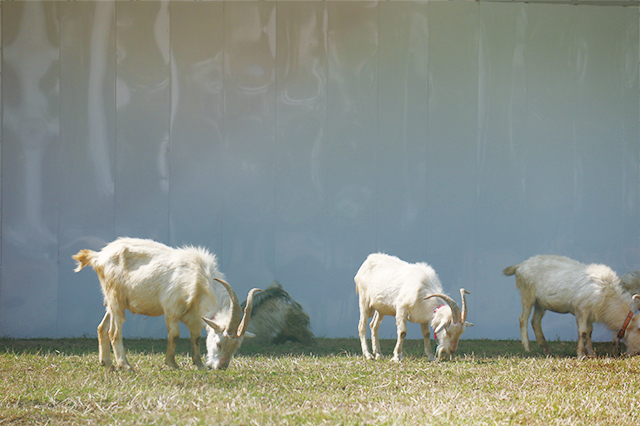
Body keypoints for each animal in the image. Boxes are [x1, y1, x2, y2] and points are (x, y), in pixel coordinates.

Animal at [71, 238, 258, 372]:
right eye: (219, 344)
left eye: (235, 348)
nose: (221, 368)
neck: (199, 277)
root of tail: (98, 257)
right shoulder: (171, 309)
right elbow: (174, 335)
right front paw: (172, 364)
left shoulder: (195, 317)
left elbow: (196, 338)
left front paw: (199, 364)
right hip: (115, 297)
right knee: (114, 332)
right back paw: (125, 365)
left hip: (111, 302)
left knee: (101, 327)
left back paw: (107, 363)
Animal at [504, 255, 640, 358]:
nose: (636, 353)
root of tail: (521, 265)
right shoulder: (582, 310)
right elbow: (583, 332)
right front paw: (581, 354)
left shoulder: (590, 313)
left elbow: (589, 332)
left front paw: (591, 353)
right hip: (527, 294)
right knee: (523, 319)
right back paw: (527, 348)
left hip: (540, 302)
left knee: (536, 321)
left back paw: (546, 348)